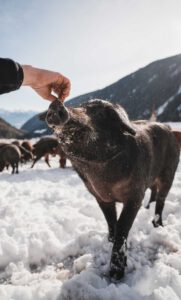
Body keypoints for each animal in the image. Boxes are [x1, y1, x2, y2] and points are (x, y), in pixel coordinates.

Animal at [46, 99, 180, 282]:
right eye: (80, 106)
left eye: (101, 113)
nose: (56, 103)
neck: (101, 171)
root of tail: (169, 129)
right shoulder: (100, 197)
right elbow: (110, 220)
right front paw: (109, 240)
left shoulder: (135, 195)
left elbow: (122, 226)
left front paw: (116, 275)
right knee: (153, 193)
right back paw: (148, 210)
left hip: (169, 172)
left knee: (161, 200)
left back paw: (158, 226)